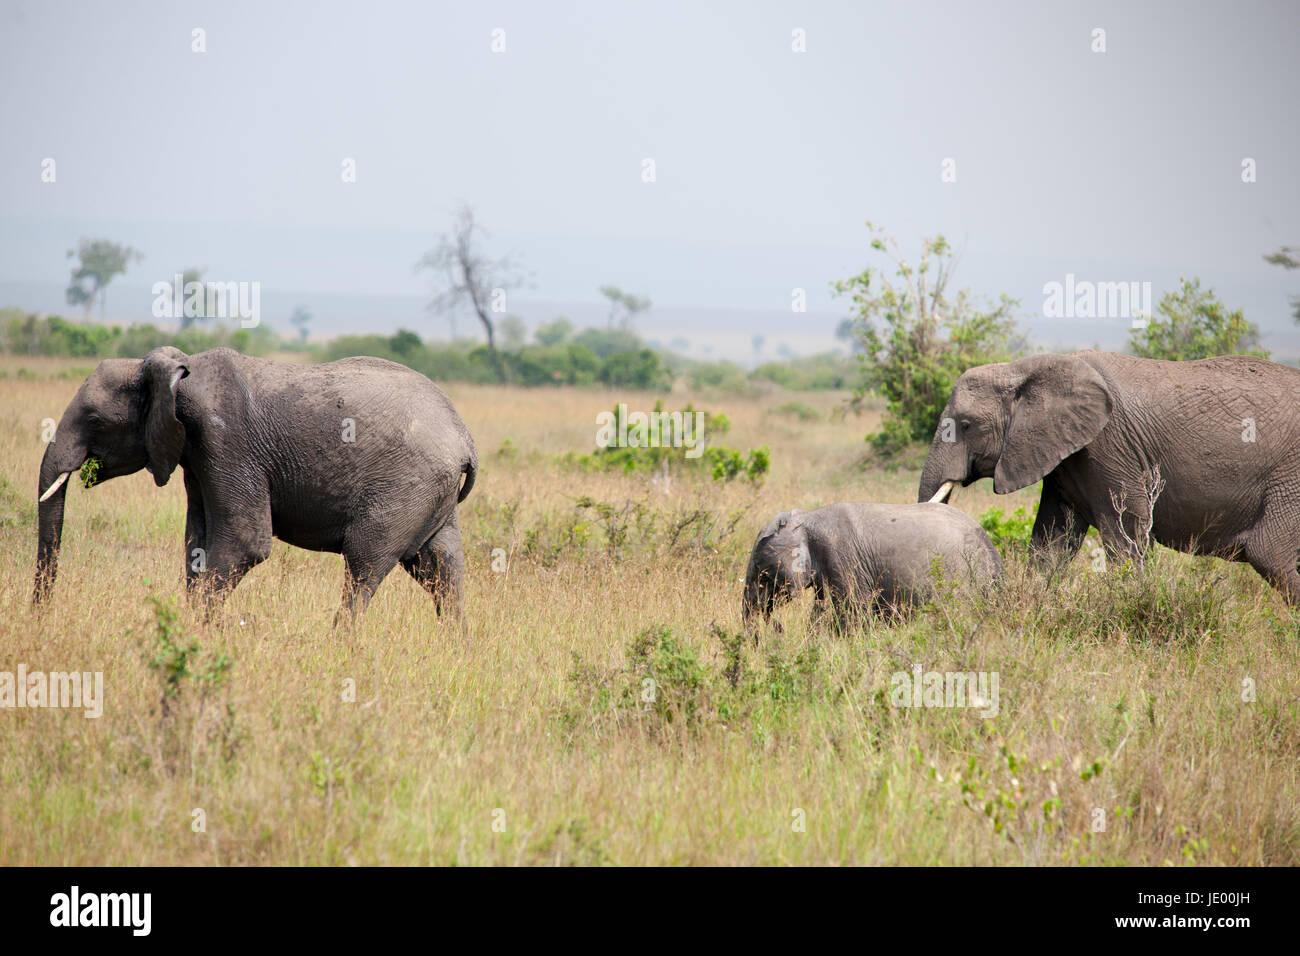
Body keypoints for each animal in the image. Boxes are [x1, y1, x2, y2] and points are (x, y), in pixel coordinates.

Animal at [33, 346, 478, 622]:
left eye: (94, 419)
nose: (41, 613)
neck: (178, 370)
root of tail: (465, 439)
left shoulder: (225, 441)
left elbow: (245, 543)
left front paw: (204, 634)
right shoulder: (197, 455)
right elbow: (197, 542)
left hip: (404, 489)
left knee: (364, 566)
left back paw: (339, 646)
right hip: (431, 495)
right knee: (442, 569)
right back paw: (456, 648)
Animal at [917, 350, 1300, 602]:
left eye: (966, 425)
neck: (1025, 367)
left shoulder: (1110, 445)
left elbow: (1127, 531)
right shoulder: (1065, 456)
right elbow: (1053, 538)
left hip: (1289, 478)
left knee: (1269, 555)